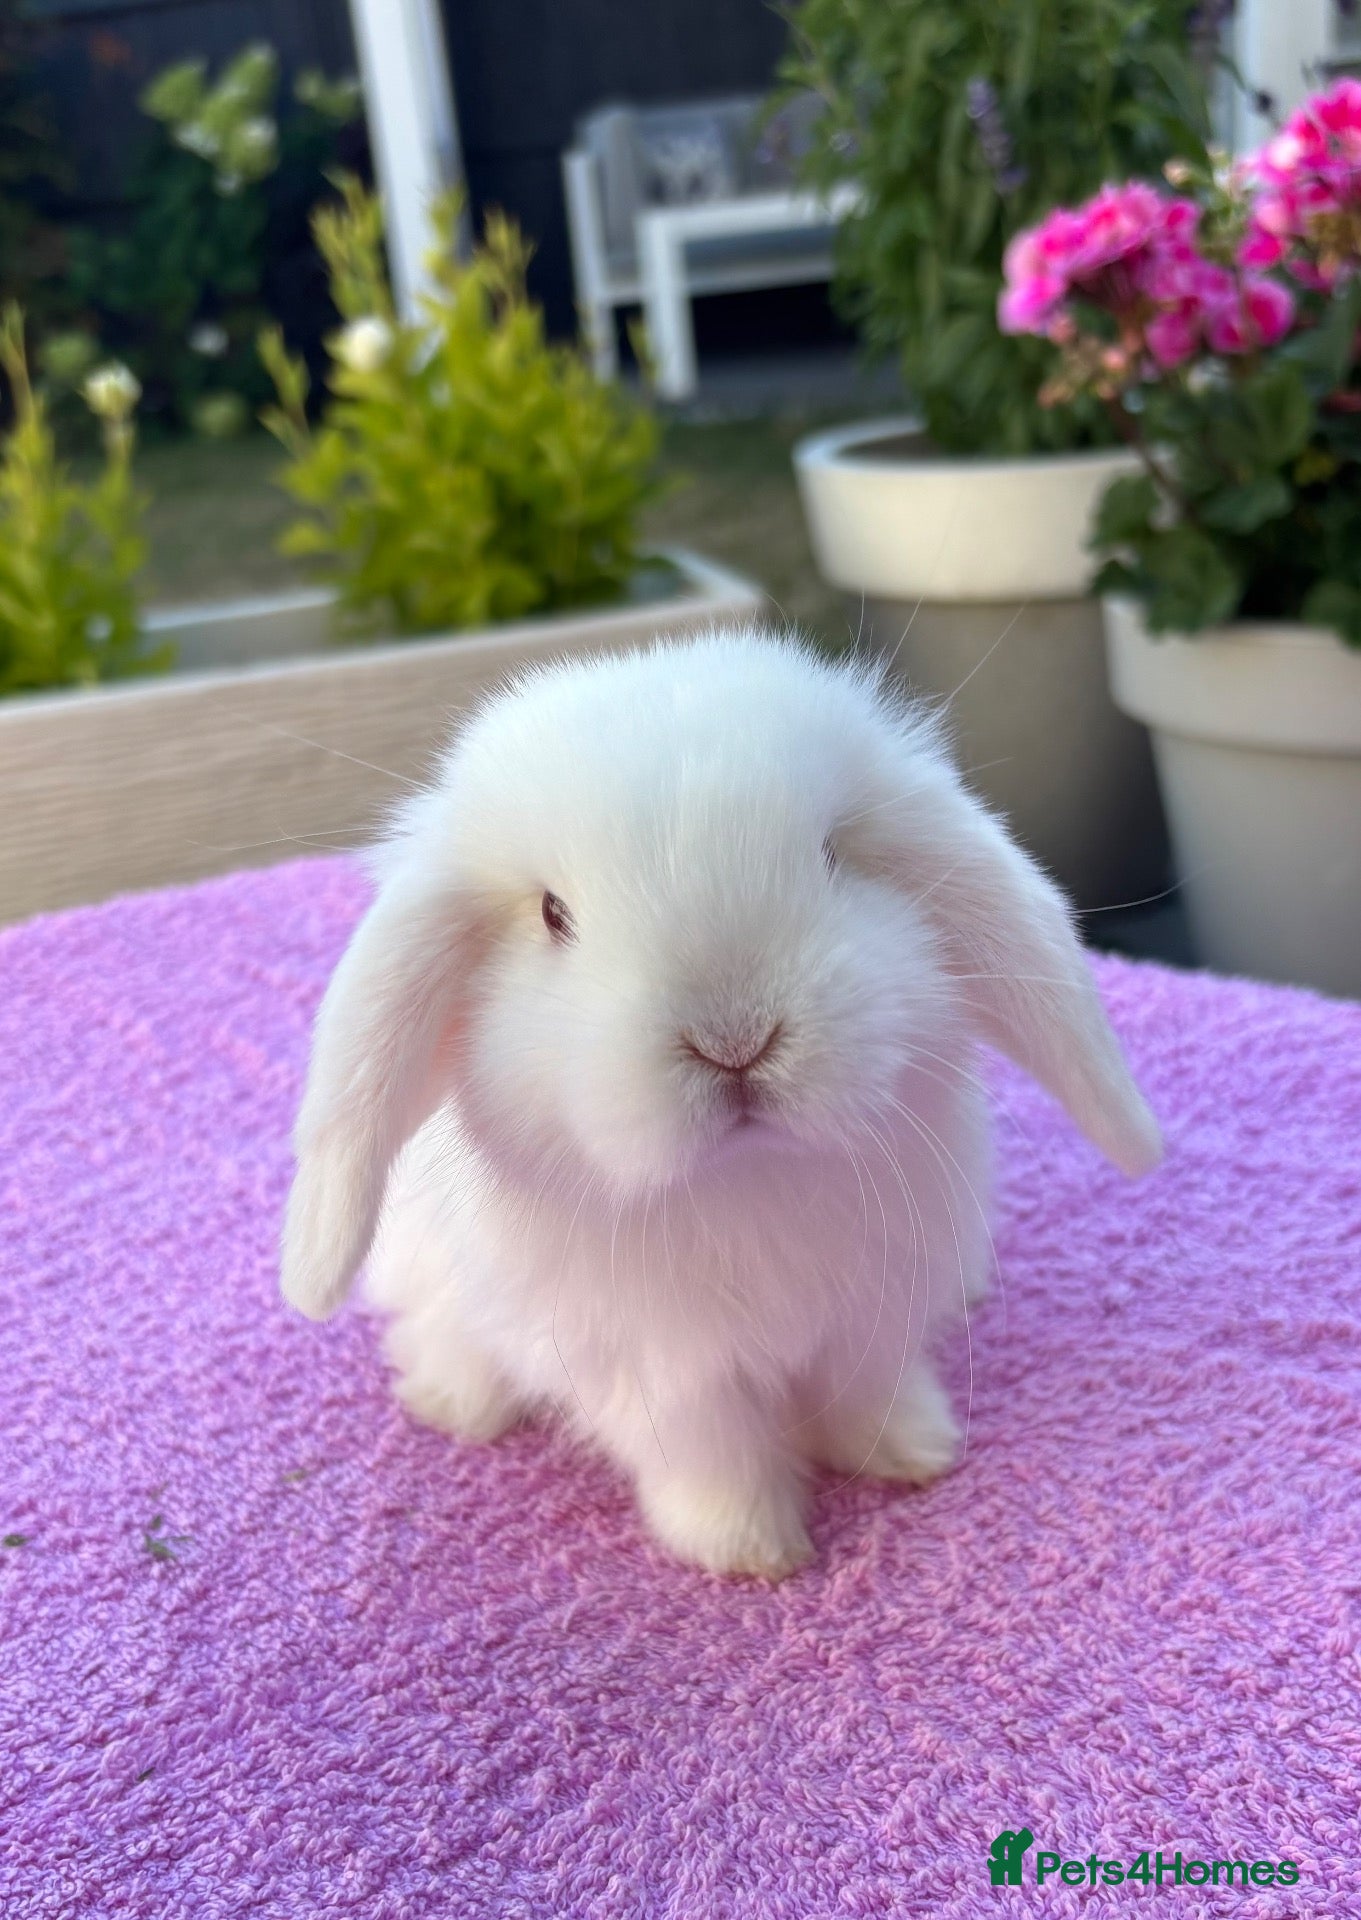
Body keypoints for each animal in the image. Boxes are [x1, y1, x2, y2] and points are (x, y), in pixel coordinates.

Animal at [280, 629, 1161, 1580]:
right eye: (553, 914)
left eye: (831, 856)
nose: (733, 1038)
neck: (748, 1177)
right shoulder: (660, 1372)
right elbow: (713, 1453)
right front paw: (749, 1550)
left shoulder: (869, 1318)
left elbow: (867, 1394)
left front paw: (911, 1454)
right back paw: (453, 1399)